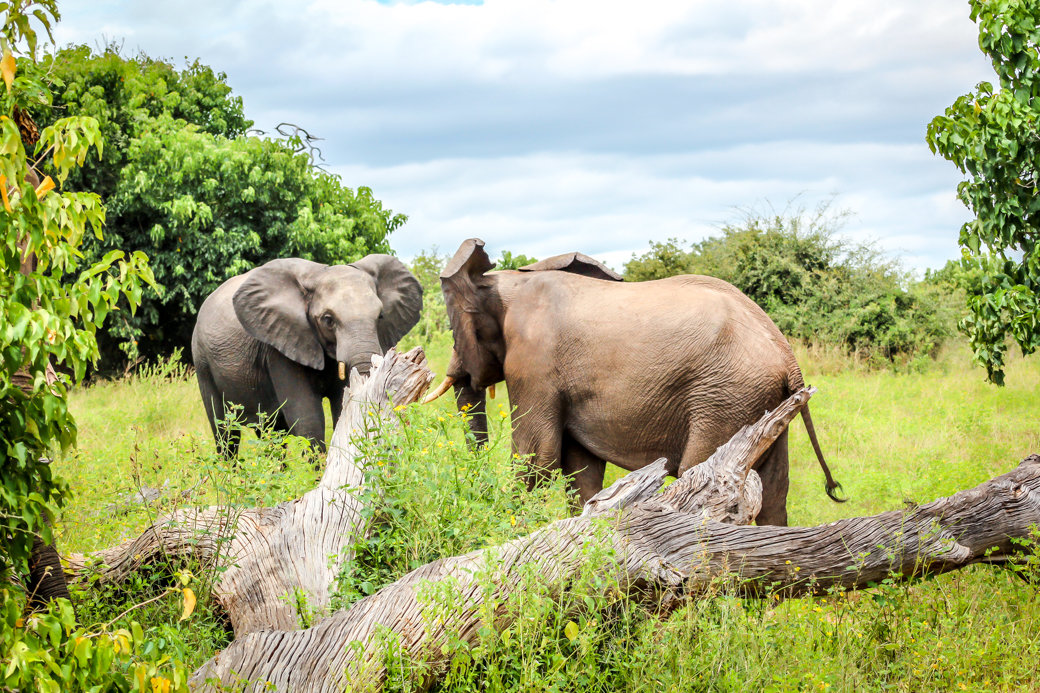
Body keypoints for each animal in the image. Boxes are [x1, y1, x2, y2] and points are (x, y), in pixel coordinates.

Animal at [193, 253, 420, 453]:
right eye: (328, 320)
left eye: (380, 316)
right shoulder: (279, 346)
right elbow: (307, 418)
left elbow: (340, 409)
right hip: (202, 361)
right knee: (225, 432)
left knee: (270, 431)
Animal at [422, 237, 836, 524]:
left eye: (453, 331)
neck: (507, 283)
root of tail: (787, 355)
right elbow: (580, 469)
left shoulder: (533, 363)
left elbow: (536, 457)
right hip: (761, 403)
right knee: (773, 494)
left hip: (726, 397)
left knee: (704, 475)